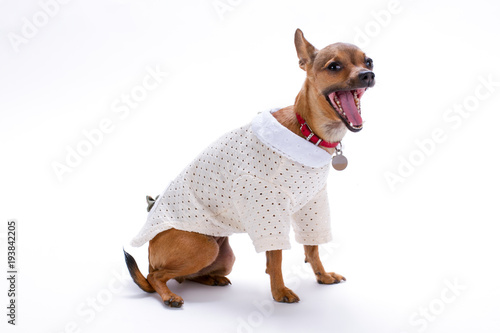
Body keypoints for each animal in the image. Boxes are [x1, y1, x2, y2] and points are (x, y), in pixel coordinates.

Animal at [125, 27, 376, 306]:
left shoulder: (312, 206)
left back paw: (211, 279)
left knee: (183, 276)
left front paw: (322, 276)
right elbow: (276, 257)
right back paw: (169, 296)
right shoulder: (267, 208)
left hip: (224, 257)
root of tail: (149, 251)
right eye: (334, 66)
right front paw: (279, 291)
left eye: (368, 61)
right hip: (203, 247)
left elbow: (312, 248)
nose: (367, 75)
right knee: (156, 275)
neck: (307, 132)